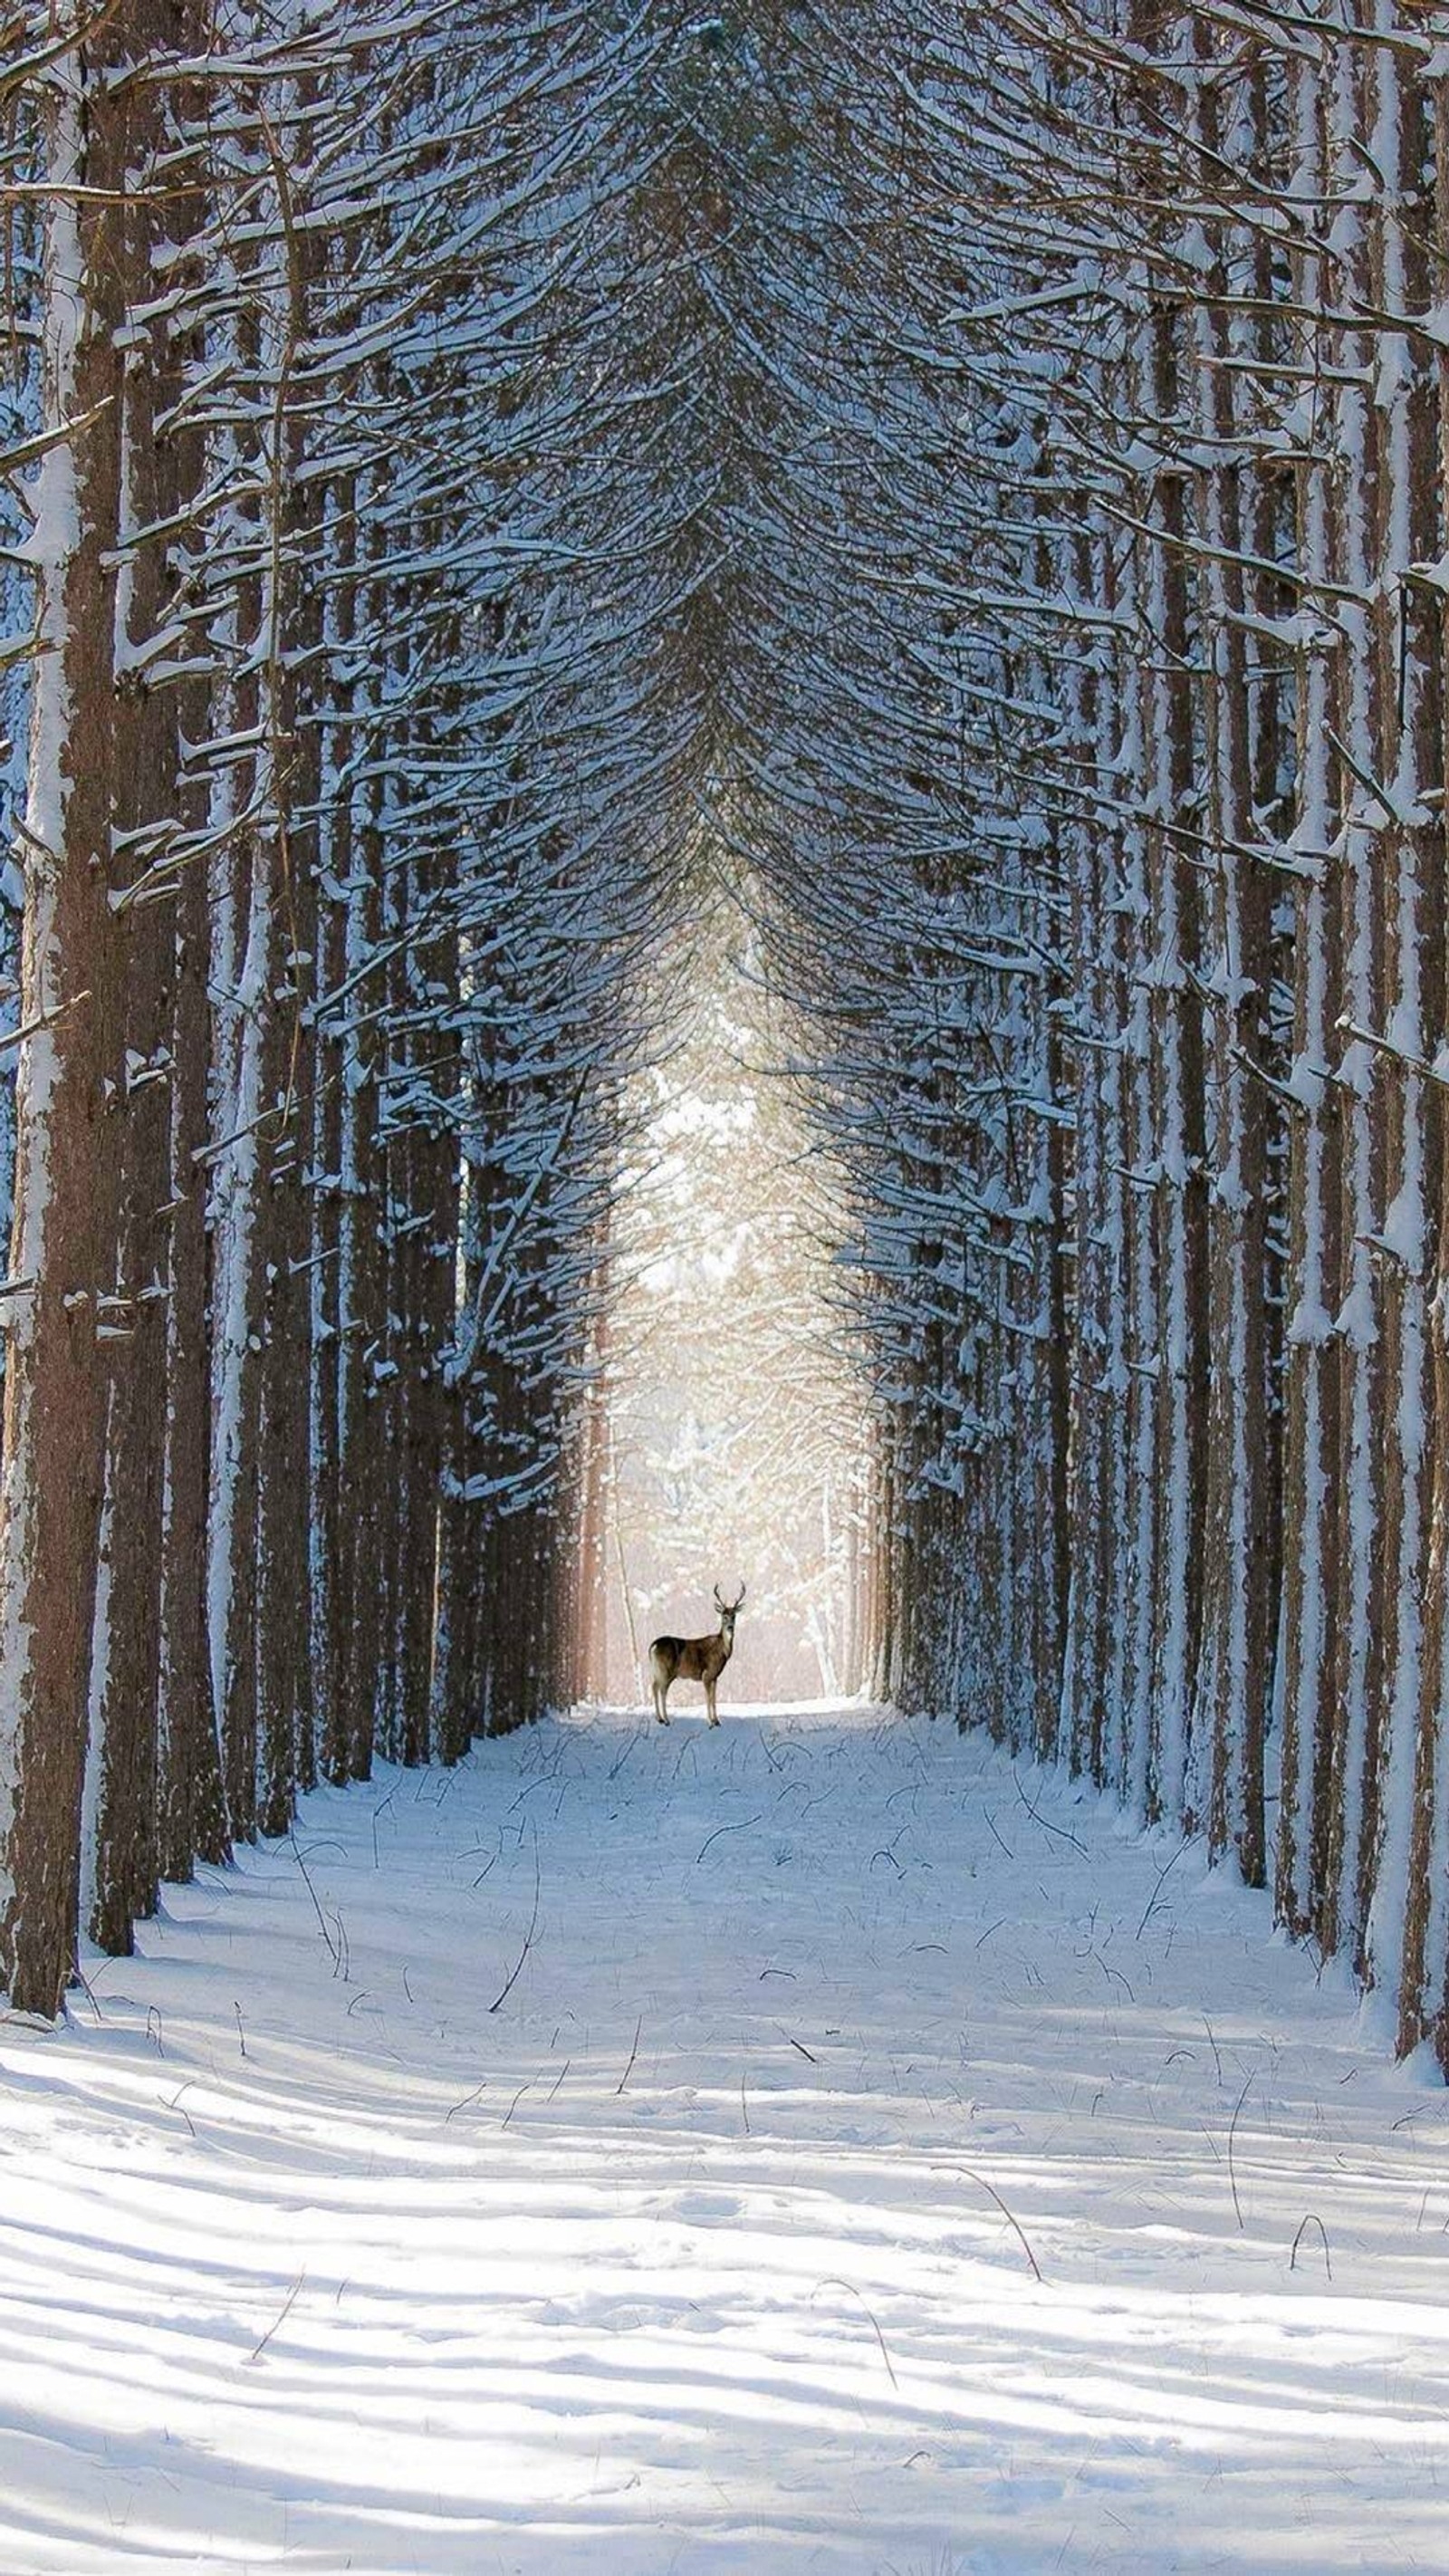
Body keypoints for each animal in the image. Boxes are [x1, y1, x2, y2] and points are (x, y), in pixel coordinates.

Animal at [648, 1576, 746, 1720]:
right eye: (724, 1616)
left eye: (734, 1616)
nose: (730, 1627)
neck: (722, 1651)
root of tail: (653, 1645)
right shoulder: (707, 1674)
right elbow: (708, 1698)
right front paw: (711, 1721)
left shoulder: (715, 1676)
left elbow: (714, 1698)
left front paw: (717, 1721)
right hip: (666, 1669)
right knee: (662, 1690)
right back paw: (666, 1719)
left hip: (657, 1670)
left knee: (654, 1687)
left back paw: (660, 1719)